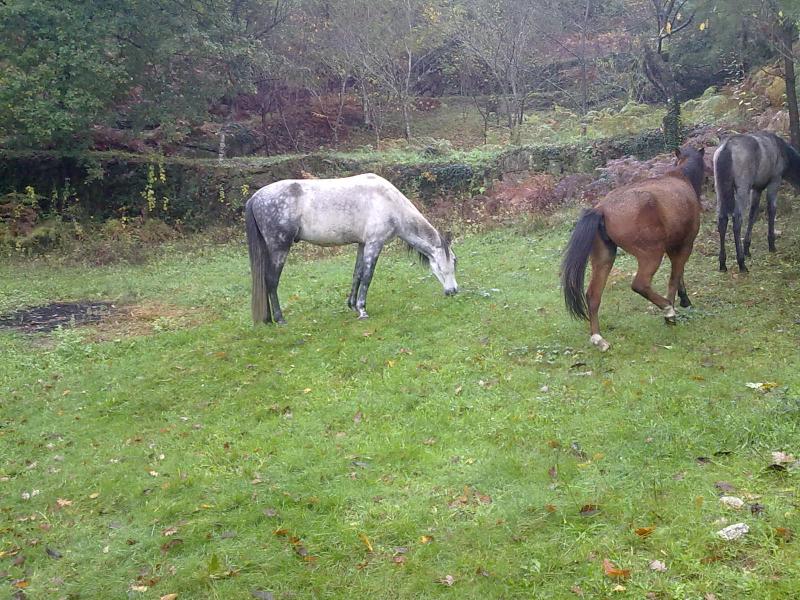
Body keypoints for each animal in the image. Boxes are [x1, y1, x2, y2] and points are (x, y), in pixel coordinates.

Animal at [244, 173, 456, 324]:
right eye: (453, 261)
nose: (453, 291)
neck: (390, 204)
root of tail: (255, 198)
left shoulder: (363, 244)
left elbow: (357, 274)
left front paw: (352, 305)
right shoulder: (374, 244)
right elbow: (368, 276)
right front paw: (362, 310)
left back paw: (268, 319)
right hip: (279, 248)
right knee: (271, 281)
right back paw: (279, 319)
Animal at [564, 146, 708, 352]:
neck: (681, 178)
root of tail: (602, 208)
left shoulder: (675, 247)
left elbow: (678, 275)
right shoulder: (684, 245)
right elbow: (675, 277)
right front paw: (674, 309)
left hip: (604, 258)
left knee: (593, 295)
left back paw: (598, 339)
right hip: (651, 255)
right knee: (640, 284)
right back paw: (667, 310)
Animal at [712, 132, 800, 274]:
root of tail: (726, 148)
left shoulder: (757, 188)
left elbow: (753, 214)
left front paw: (747, 248)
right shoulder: (774, 180)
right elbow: (771, 210)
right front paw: (771, 245)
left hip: (720, 188)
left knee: (722, 219)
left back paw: (722, 264)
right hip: (743, 186)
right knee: (737, 219)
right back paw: (741, 264)